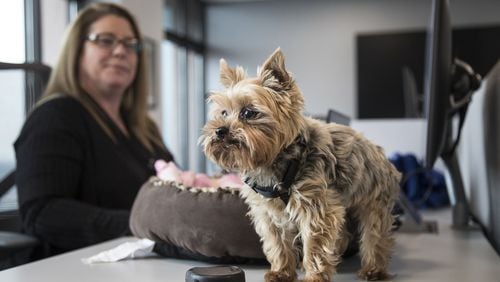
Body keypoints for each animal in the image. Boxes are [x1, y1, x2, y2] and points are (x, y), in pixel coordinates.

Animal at [201, 48, 400, 282]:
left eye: (248, 112)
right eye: (223, 113)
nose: (219, 130)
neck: (273, 163)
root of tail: (381, 154)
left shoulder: (316, 207)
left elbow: (315, 244)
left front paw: (314, 275)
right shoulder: (268, 213)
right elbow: (278, 243)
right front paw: (281, 271)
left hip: (373, 199)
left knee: (375, 234)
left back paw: (373, 269)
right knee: (344, 234)